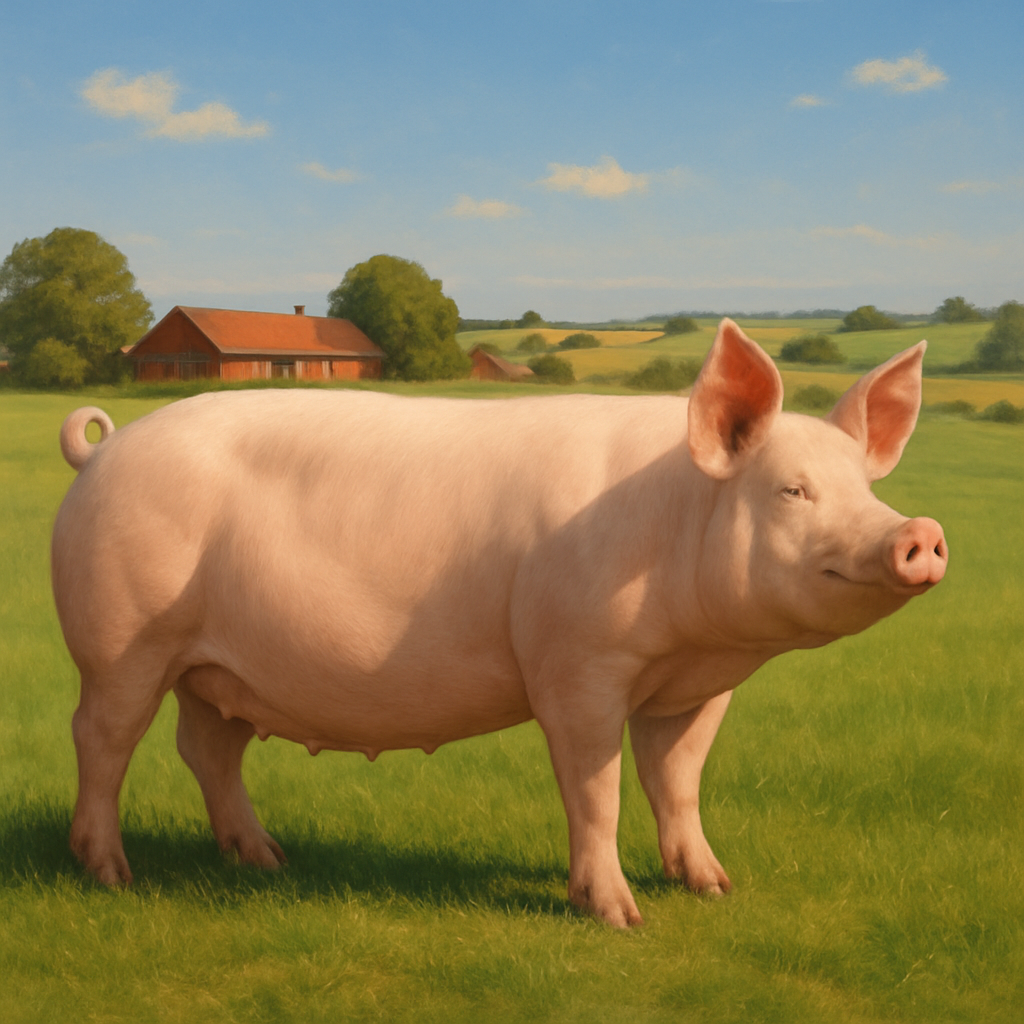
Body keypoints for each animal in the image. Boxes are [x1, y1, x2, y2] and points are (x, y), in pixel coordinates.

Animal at [51, 318, 947, 927]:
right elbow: (596, 788)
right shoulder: (577, 663)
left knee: (205, 748)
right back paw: (111, 875)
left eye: (865, 488)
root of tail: (102, 451)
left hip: (217, 667)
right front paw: (620, 917)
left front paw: (715, 888)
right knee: (100, 736)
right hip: (122, 634)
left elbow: (677, 781)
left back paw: (266, 862)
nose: (919, 532)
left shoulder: (693, 688)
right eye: (792, 490)